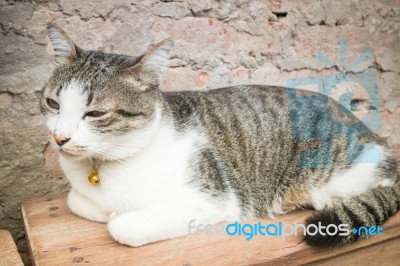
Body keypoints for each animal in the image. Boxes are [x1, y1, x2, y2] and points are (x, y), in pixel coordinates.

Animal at [41, 22, 400, 247]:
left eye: (95, 113)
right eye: (52, 103)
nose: (59, 138)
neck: (103, 165)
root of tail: (377, 139)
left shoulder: (215, 201)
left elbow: (121, 226)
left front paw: (119, 215)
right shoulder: (83, 196)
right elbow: (78, 201)